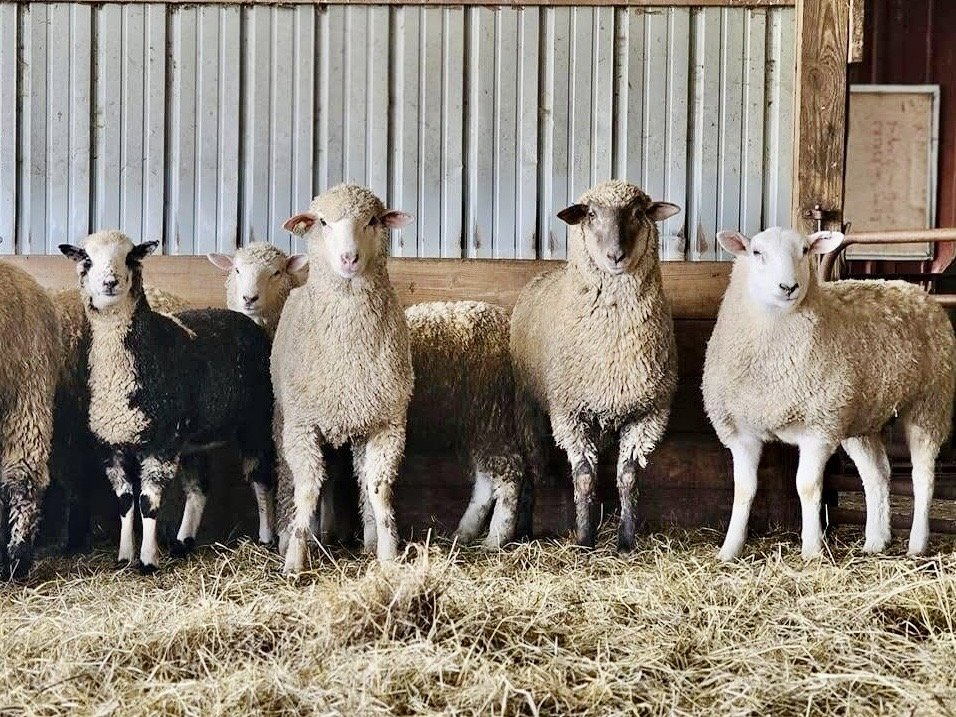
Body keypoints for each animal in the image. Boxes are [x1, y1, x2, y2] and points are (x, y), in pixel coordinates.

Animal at [58, 231, 276, 572]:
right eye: (87, 260)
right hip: (192, 440)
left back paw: (266, 537)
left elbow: (148, 503)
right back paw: (183, 542)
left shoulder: (160, 444)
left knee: (261, 478)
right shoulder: (112, 445)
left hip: (256, 421)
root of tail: (246, 320)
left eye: (130, 257)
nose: (110, 282)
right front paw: (125, 557)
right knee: (199, 488)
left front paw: (148, 560)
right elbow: (125, 502)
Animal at [272, 183, 413, 573]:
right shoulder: (303, 425)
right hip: (283, 418)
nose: (349, 259)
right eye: (322, 222)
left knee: (361, 479)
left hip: (361, 424)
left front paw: (388, 554)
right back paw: (287, 534)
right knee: (289, 476)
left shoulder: (387, 424)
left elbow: (378, 487)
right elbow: (307, 488)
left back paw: (368, 539)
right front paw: (295, 559)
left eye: (373, 220)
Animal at [510, 179, 681, 550]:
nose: (615, 256)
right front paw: (585, 540)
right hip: (528, 407)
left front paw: (626, 541)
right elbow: (584, 477)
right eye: (590, 214)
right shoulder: (569, 413)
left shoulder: (648, 413)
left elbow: (628, 477)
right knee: (531, 468)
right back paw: (525, 530)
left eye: (638, 213)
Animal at [703, 227, 956, 561]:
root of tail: (916, 290)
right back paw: (875, 541)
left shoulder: (819, 427)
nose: (789, 287)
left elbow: (807, 486)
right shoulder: (741, 431)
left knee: (923, 476)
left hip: (929, 403)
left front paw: (812, 549)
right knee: (877, 474)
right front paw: (729, 550)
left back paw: (917, 544)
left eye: (805, 250)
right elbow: (744, 489)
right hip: (861, 419)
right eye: (757, 252)